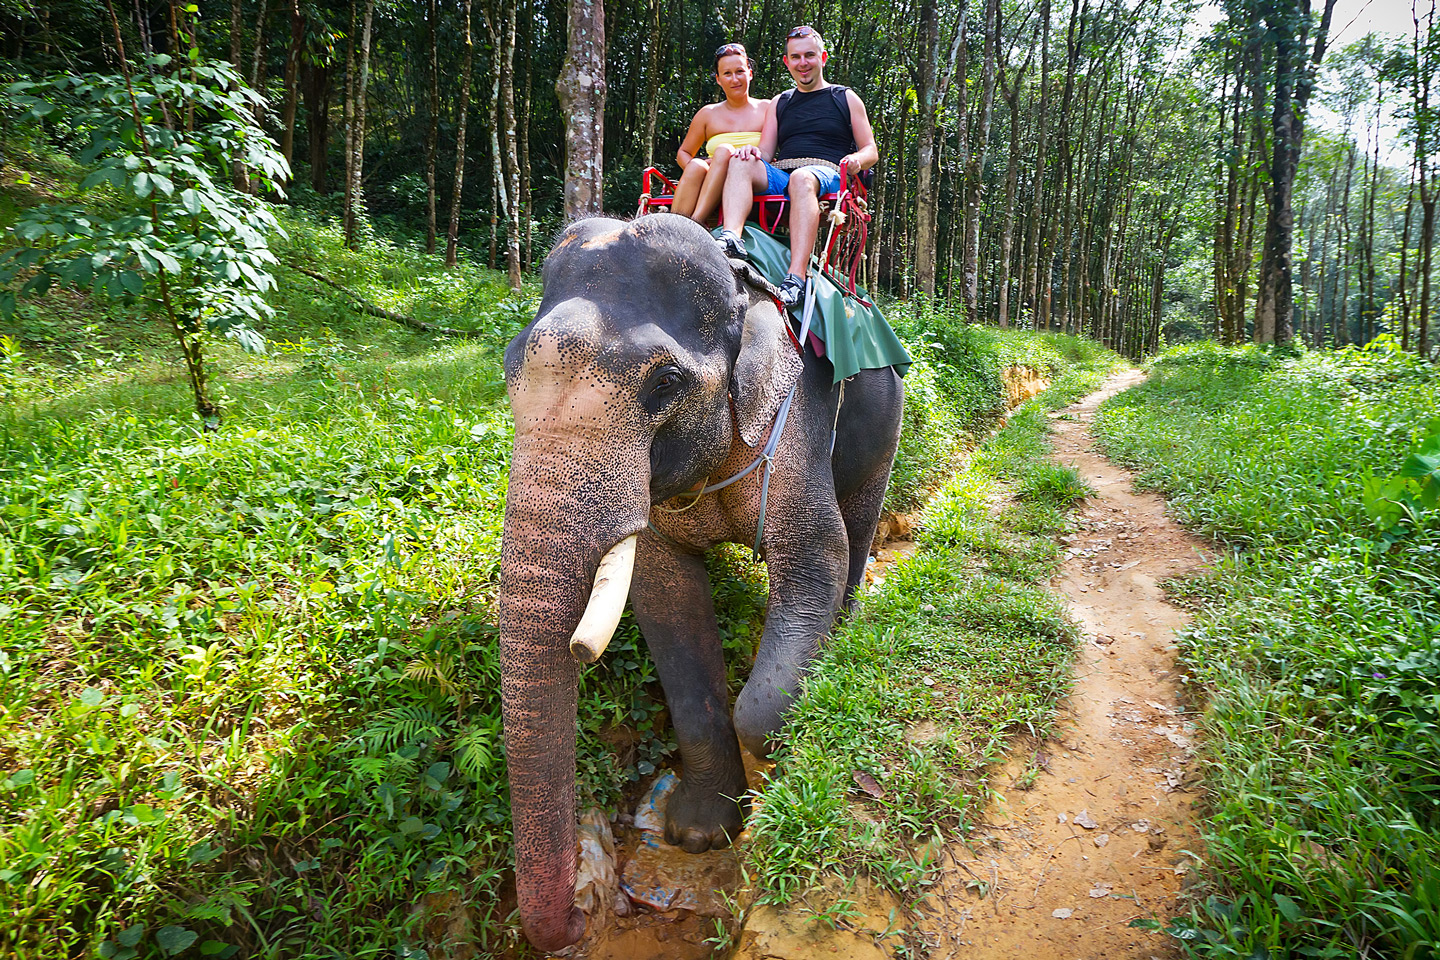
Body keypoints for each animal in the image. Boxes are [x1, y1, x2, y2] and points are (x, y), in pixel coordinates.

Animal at [495, 214, 898, 949]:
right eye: (509, 369)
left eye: (664, 384)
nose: (578, 922)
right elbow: (664, 597)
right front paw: (700, 834)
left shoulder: (795, 416)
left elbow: (816, 554)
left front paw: (794, 727)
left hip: (886, 417)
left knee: (856, 531)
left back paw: (846, 634)